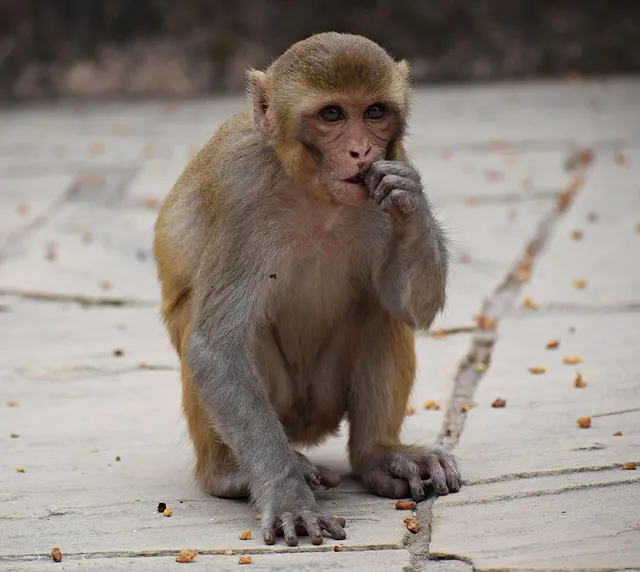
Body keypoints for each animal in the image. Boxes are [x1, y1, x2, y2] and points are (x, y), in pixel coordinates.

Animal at [153, 32, 461, 547]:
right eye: (332, 115)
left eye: (374, 111)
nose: (361, 152)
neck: (316, 191)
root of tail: (306, 424)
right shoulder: (240, 194)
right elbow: (215, 349)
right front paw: (289, 497)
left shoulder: (394, 160)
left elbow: (411, 306)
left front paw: (410, 200)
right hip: (281, 405)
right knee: (211, 327)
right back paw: (231, 474)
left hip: (325, 395)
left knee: (378, 309)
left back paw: (380, 456)